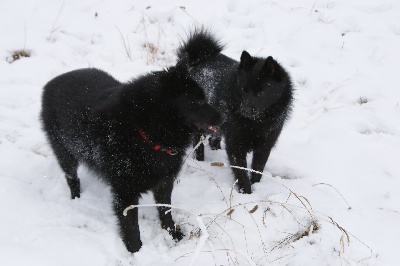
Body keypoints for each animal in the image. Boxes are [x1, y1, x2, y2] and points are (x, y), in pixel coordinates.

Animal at [40, 56, 225, 254]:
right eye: (197, 101)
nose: (224, 117)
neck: (146, 132)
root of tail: (50, 84)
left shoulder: (164, 182)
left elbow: (165, 211)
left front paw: (173, 234)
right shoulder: (125, 192)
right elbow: (131, 227)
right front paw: (137, 252)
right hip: (65, 154)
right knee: (72, 178)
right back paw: (76, 199)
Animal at [178, 29, 294, 194]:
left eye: (261, 92)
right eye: (244, 90)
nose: (244, 111)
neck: (257, 123)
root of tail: (199, 60)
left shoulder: (265, 146)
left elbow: (257, 170)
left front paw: (256, 186)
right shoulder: (236, 145)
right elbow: (241, 172)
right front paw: (247, 192)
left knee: (214, 138)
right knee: (198, 144)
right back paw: (200, 160)